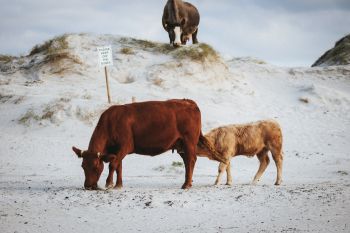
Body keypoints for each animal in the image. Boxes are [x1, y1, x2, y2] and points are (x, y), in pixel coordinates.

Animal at [73, 98, 224, 189]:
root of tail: (188, 102)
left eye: (95, 166)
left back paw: (186, 184)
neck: (111, 122)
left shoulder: (125, 146)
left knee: (191, 160)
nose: (88, 186)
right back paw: (188, 182)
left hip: (189, 142)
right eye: (82, 166)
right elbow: (118, 167)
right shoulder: (116, 150)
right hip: (181, 144)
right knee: (187, 161)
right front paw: (118, 185)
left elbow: (113, 165)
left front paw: (109, 183)